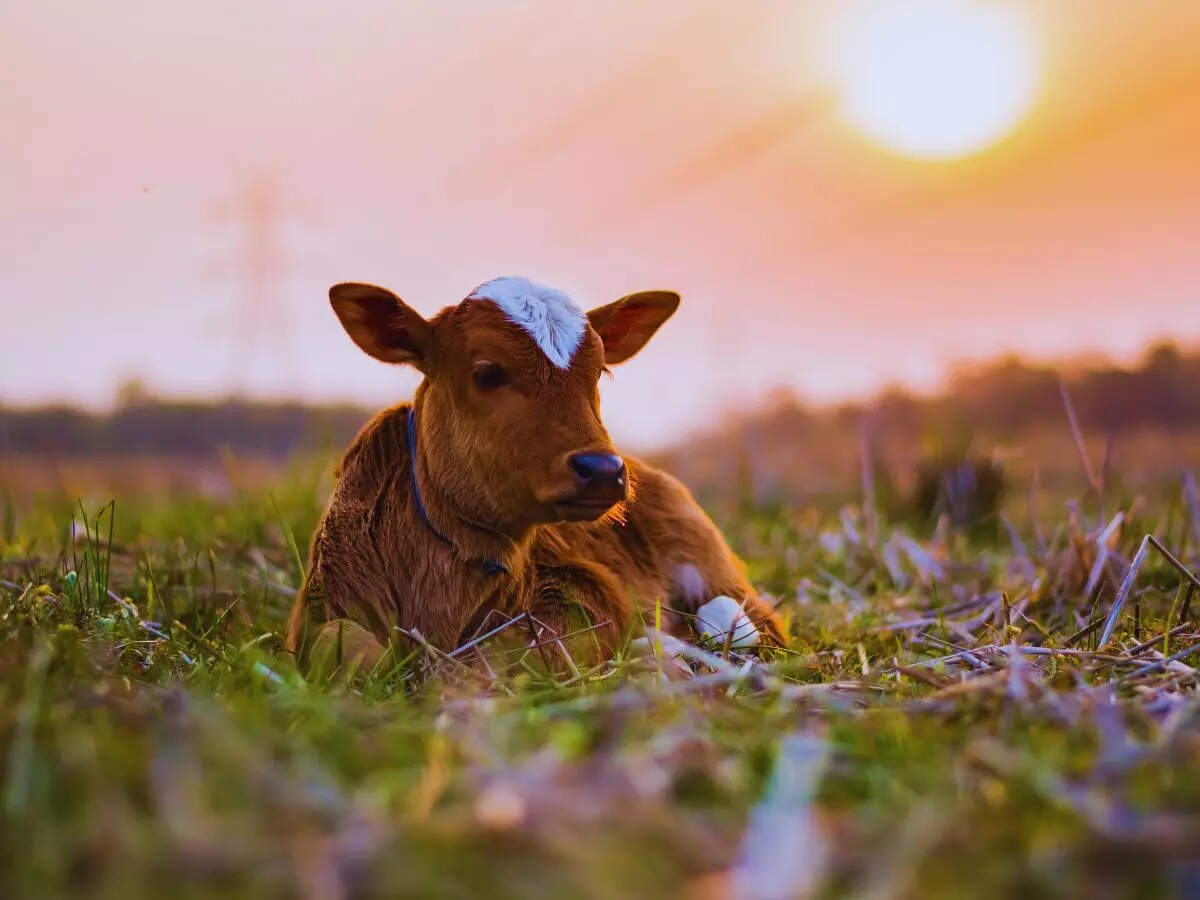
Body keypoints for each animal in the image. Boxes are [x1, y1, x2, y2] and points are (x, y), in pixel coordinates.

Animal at [286, 276, 785, 671]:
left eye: (599, 372)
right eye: (487, 372)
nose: (603, 469)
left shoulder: (585, 587)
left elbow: (526, 647)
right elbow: (345, 643)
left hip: (706, 555)